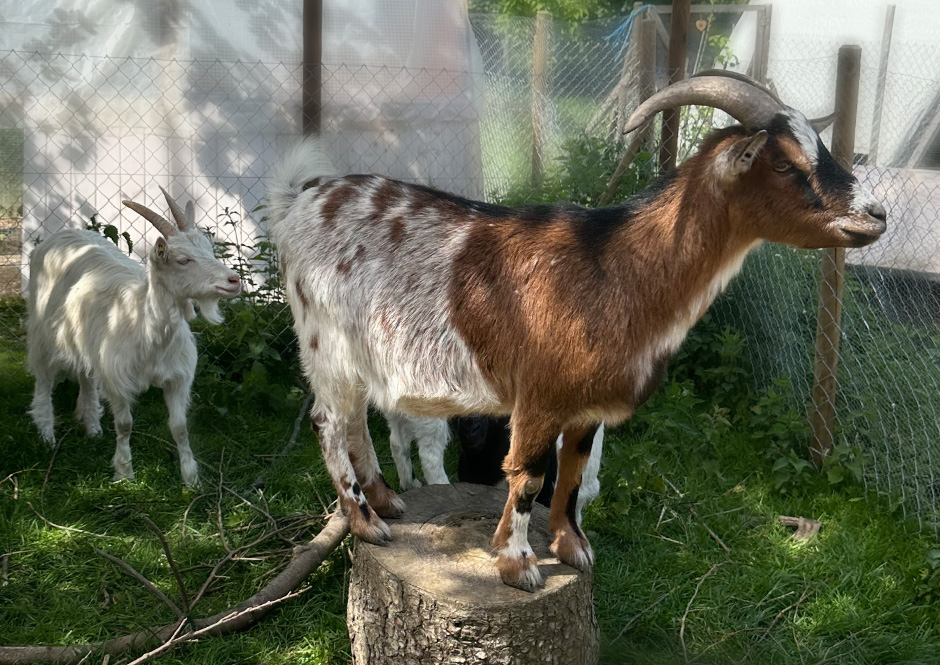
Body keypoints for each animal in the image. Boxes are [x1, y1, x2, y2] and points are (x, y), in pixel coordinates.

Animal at [27, 189, 241, 486]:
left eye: (210, 250)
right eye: (183, 260)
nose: (234, 281)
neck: (148, 330)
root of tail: (62, 234)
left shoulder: (177, 378)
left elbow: (180, 427)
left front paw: (191, 479)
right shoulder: (117, 378)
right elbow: (125, 424)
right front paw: (124, 473)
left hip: (85, 339)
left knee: (86, 375)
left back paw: (92, 426)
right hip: (42, 333)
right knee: (44, 379)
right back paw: (47, 434)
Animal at [268, 71, 884, 592]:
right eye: (782, 164)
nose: (875, 215)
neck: (617, 267)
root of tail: (303, 199)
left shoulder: (587, 405)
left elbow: (572, 473)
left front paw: (572, 549)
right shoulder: (539, 395)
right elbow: (526, 476)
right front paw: (518, 565)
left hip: (357, 355)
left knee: (355, 422)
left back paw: (388, 503)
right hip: (324, 342)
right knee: (329, 423)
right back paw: (366, 523)